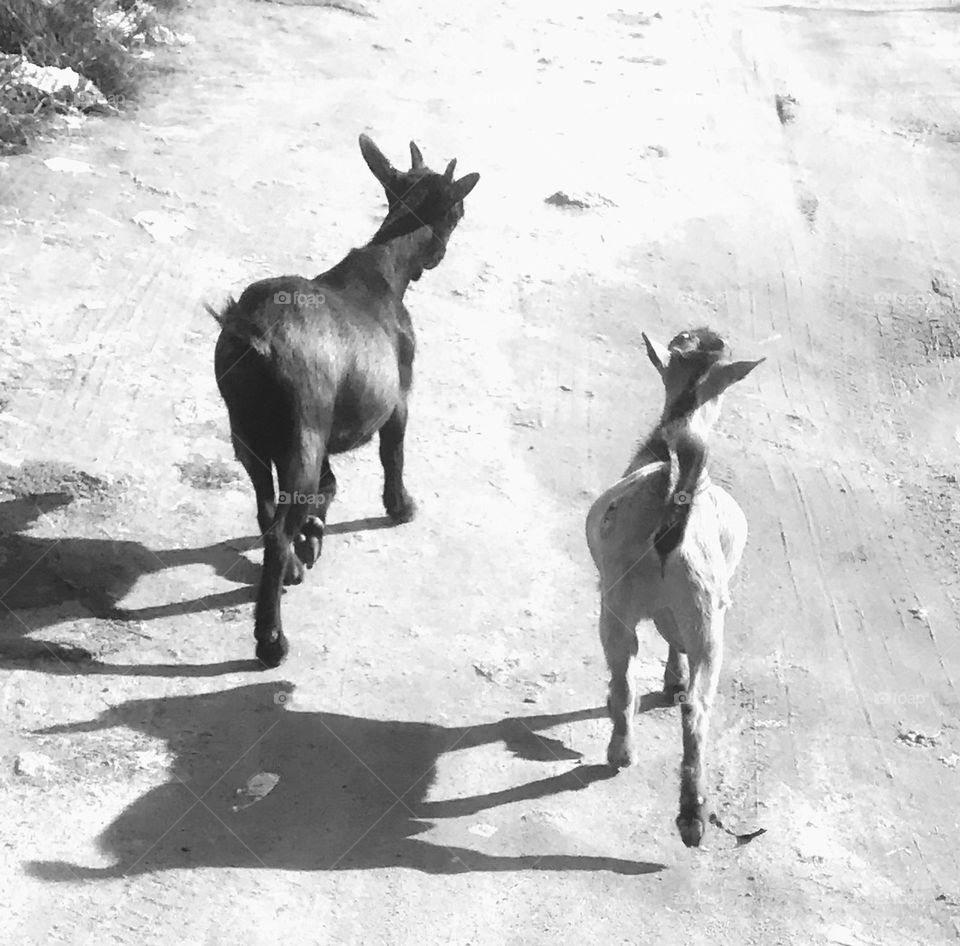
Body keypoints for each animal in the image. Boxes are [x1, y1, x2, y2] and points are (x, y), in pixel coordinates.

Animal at [209, 135, 480, 668]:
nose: (436, 256)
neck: (385, 268)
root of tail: (252, 335)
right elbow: (392, 455)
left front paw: (314, 533)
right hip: (302, 433)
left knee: (266, 507)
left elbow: (328, 487)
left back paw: (293, 564)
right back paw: (271, 640)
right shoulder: (398, 398)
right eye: (459, 211)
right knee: (277, 528)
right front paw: (400, 507)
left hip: (247, 434)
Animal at [585, 327, 763, 847]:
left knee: (624, 679)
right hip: (706, 619)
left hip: (618, 606)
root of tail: (671, 518)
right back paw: (692, 814)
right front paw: (674, 680)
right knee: (696, 709)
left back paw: (621, 752)